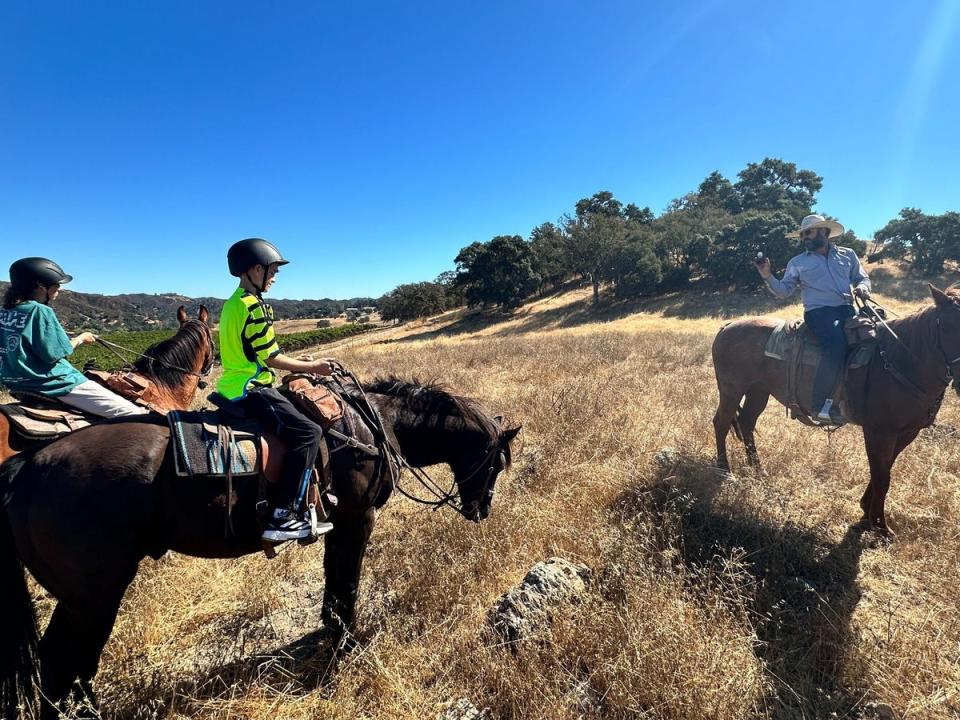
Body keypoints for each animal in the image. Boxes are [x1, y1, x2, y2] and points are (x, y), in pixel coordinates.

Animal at [0, 380, 520, 716]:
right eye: (496, 461)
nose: (482, 510)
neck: (371, 427)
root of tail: (25, 469)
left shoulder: (338, 524)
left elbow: (334, 586)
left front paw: (330, 640)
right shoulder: (357, 520)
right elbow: (347, 587)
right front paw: (347, 648)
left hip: (85, 600)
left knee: (73, 665)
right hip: (93, 597)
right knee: (61, 664)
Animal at [712, 286, 960, 536]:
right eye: (949, 325)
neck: (899, 361)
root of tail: (728, 326)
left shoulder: (907, 433)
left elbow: (884, 470)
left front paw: (866, 513)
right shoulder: (878, 432)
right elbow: (881, 477)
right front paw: (879, 525)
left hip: (758, 391)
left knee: (746, 423)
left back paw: (758, 469)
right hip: (732, 390)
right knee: (721, 423)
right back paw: (725, 471)